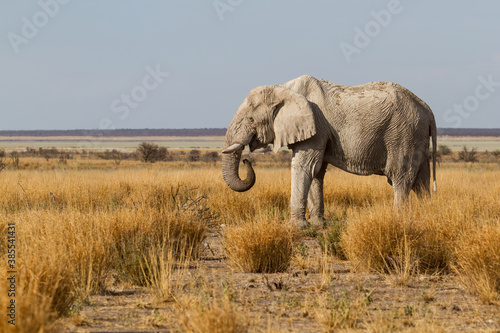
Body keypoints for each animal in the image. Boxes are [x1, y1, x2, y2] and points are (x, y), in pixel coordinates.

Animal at [221, 74, 436, 227]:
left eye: (251, 119)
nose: (246, 160)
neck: (283, 88)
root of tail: (427, 108)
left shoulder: (316, 127)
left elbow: (304, 166)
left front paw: (296, 227)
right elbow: (316, 170)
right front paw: (318, 224)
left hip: (404, 135)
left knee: (401, 178)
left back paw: (399, 220)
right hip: (417, 137)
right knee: (421, 182)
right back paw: (425, 217)